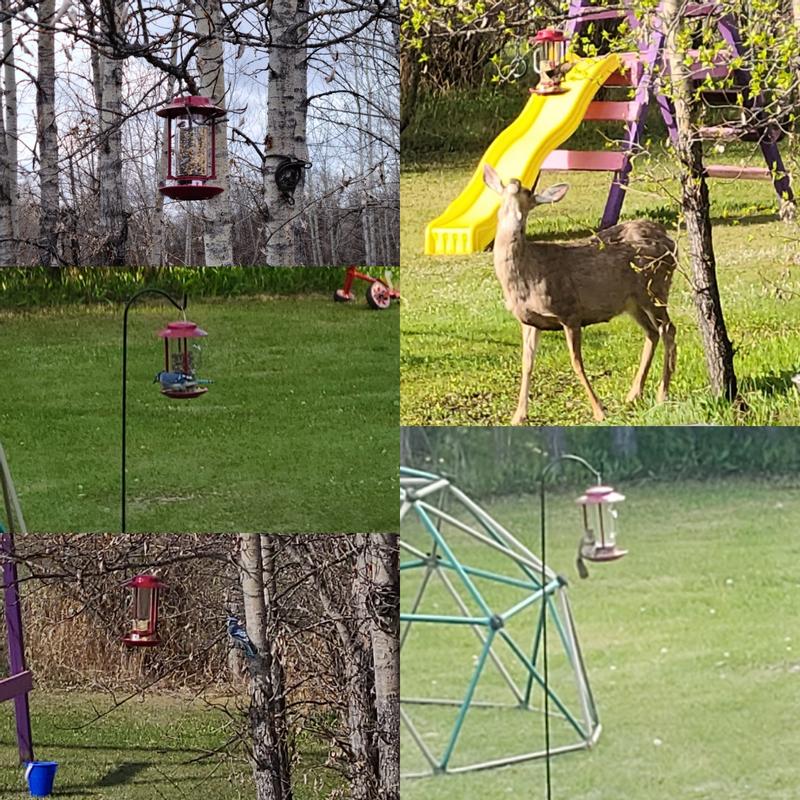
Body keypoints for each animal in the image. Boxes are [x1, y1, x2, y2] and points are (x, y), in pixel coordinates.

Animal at [483, 163, 677, 423]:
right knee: (652, 332)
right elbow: (526, 363)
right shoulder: (529, 321)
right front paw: (518, 416)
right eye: (503, 194)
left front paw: (599, 411)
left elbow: (576, 363)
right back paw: (634, 394)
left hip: (655, 286)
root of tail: (669, 239)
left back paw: (661, 395)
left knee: (668, 330)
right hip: (633, 301)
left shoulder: (570, 311)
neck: (528, 276)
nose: (515, 220)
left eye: (528, 195)